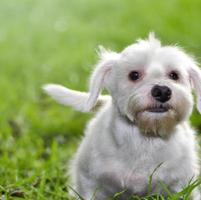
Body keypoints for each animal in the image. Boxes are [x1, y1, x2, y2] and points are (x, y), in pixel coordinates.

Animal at [43, 33, 200, 199]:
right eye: (134, 75)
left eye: (174, 75)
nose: (162, 91)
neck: (145, 140)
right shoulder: (88, 181)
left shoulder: (183, 185)